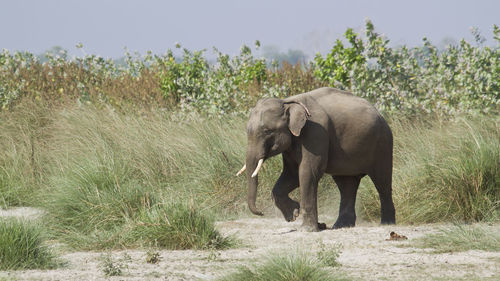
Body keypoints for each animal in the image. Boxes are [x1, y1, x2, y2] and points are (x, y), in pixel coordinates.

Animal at [236, 87, 396, 230]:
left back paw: (386, 224)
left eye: (267, 131)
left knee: (382, 181)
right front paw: (293, 214)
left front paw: (306, 229)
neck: (288, 102)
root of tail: (379, 113)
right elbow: (291, 174)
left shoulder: (316, 132)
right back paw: (341, 226)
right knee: (346, 184)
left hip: (383, 143)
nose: (261, 212)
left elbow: (308, 172)